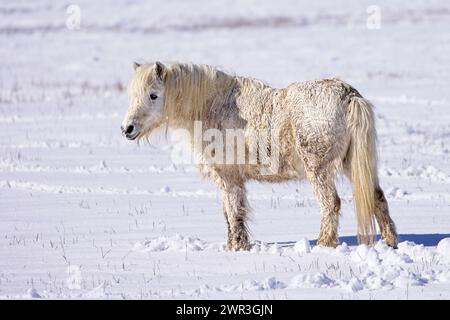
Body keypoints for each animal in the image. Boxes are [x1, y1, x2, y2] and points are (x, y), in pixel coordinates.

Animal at [120, 62, 398, 251]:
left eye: (153, 95)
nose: (127, 129)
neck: (213, 106)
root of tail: (348, 95)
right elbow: (230, 214)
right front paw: (234, 245)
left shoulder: (229, 177)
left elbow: (234, 213)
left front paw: (237, 247)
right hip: (352, 165)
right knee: (377, 197)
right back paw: (390, 241)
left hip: (318, 169)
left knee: (330, 204)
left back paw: (323, 243)